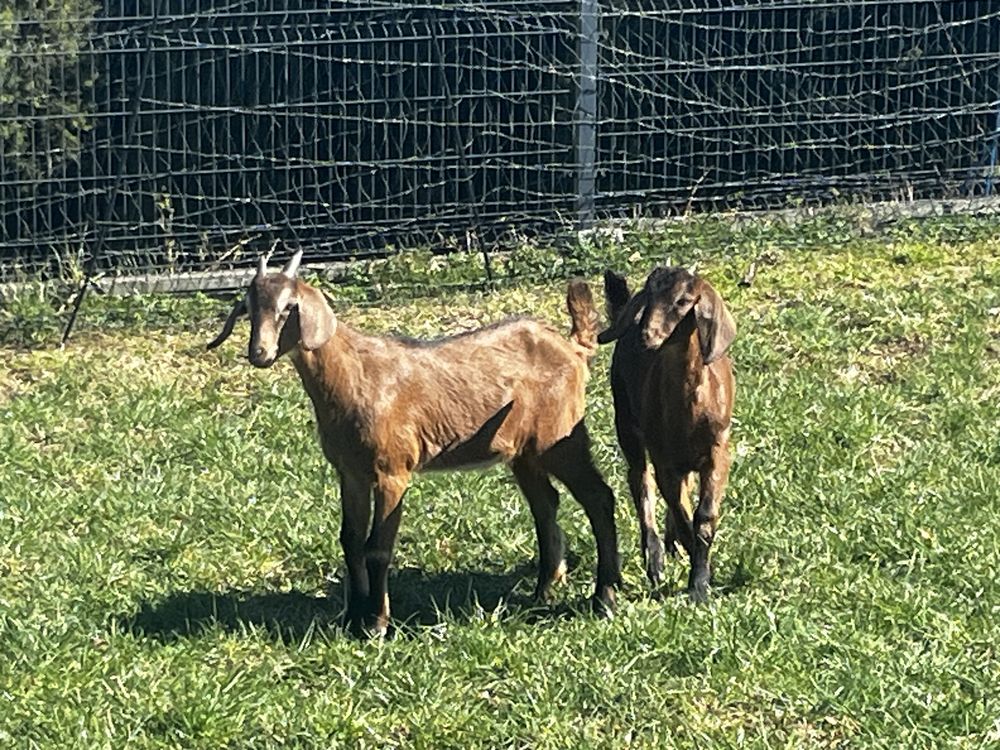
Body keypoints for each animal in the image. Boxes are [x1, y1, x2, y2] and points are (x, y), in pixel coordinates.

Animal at [208, 251, 620, 636]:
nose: (259, 353)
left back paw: (604, 596)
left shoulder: (392, 470)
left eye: (287, 308)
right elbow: (350, 540)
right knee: (546, 503)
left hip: (561, 437)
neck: (354, 377)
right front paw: (351, 617)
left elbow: (377, 547)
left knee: (599, 497)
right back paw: (544, 590)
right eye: (248, 309)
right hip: (524, 450)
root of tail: (574, 349)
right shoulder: (350, 472)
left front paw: (377, 623)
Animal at [600, 268, 736, 604]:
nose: (645, 336)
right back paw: (657, 560)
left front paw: (700, 582)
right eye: (648, 296)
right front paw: (699, 579)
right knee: (640, 482)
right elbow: (682, 511)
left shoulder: (718, 450)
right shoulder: (664, 460)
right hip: (627, 425)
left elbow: (704, 515)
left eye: (684, 301)